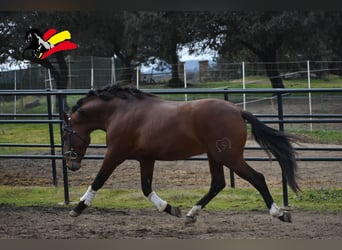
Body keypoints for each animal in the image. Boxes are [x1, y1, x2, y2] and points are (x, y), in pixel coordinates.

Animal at [62, 85, 300, 224]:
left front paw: (78, 208)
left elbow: (98, 180)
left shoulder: (115, 153)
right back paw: (191, 213)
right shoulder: (146, 158)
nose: (71, 165)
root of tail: (237, 110)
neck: (121, 112)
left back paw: (279, 213)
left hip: (229, 157)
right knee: (218, 184)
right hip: (215, 156)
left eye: (65, 133)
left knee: (257, 178)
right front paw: (170, 208)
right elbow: (146, 188)